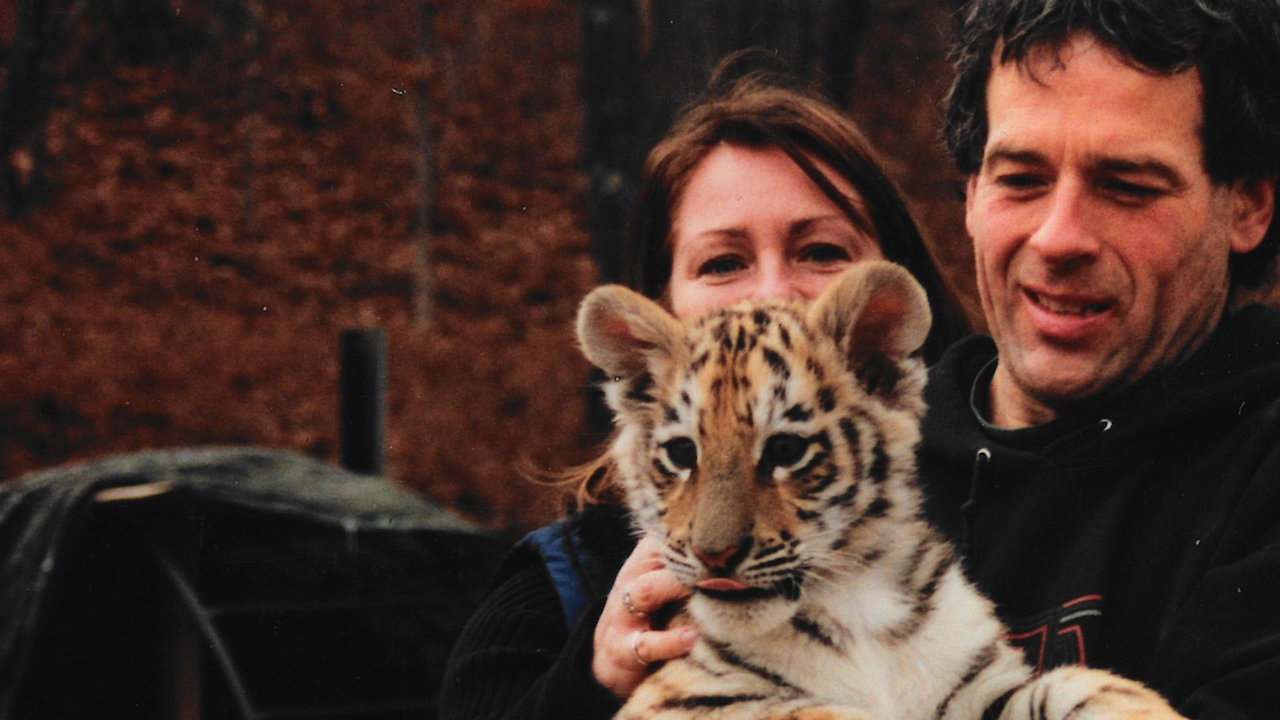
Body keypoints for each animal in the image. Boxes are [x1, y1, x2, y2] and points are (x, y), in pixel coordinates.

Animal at [575, 260, 1186, 720]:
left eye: (785, 450)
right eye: (682, 455)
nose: (714, 555)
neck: (853, 599)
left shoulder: (978, 688)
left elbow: (1085, 684)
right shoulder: (679, 701)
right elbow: (807, 713)